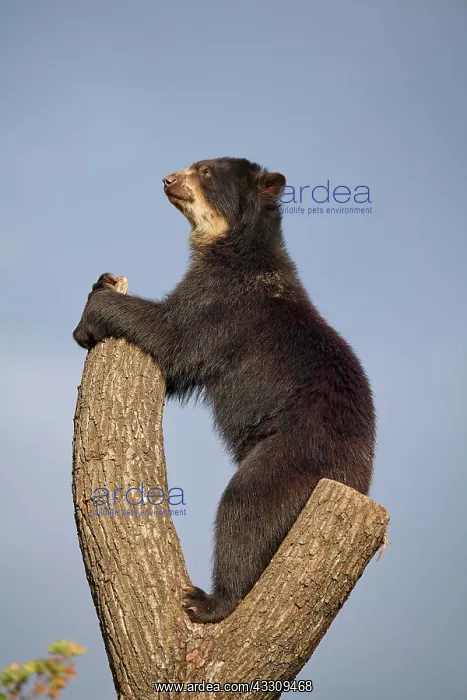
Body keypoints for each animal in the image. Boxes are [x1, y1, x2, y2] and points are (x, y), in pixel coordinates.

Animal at [73, 157, 376, 624]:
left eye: (205, 170)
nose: (168, 179)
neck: (230, 245)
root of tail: (360, 483)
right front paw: (103, 280)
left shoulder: (227, 304)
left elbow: (174, 336)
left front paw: (90, 316)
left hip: (297, 452)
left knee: (246, 505)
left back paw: (209, 599)